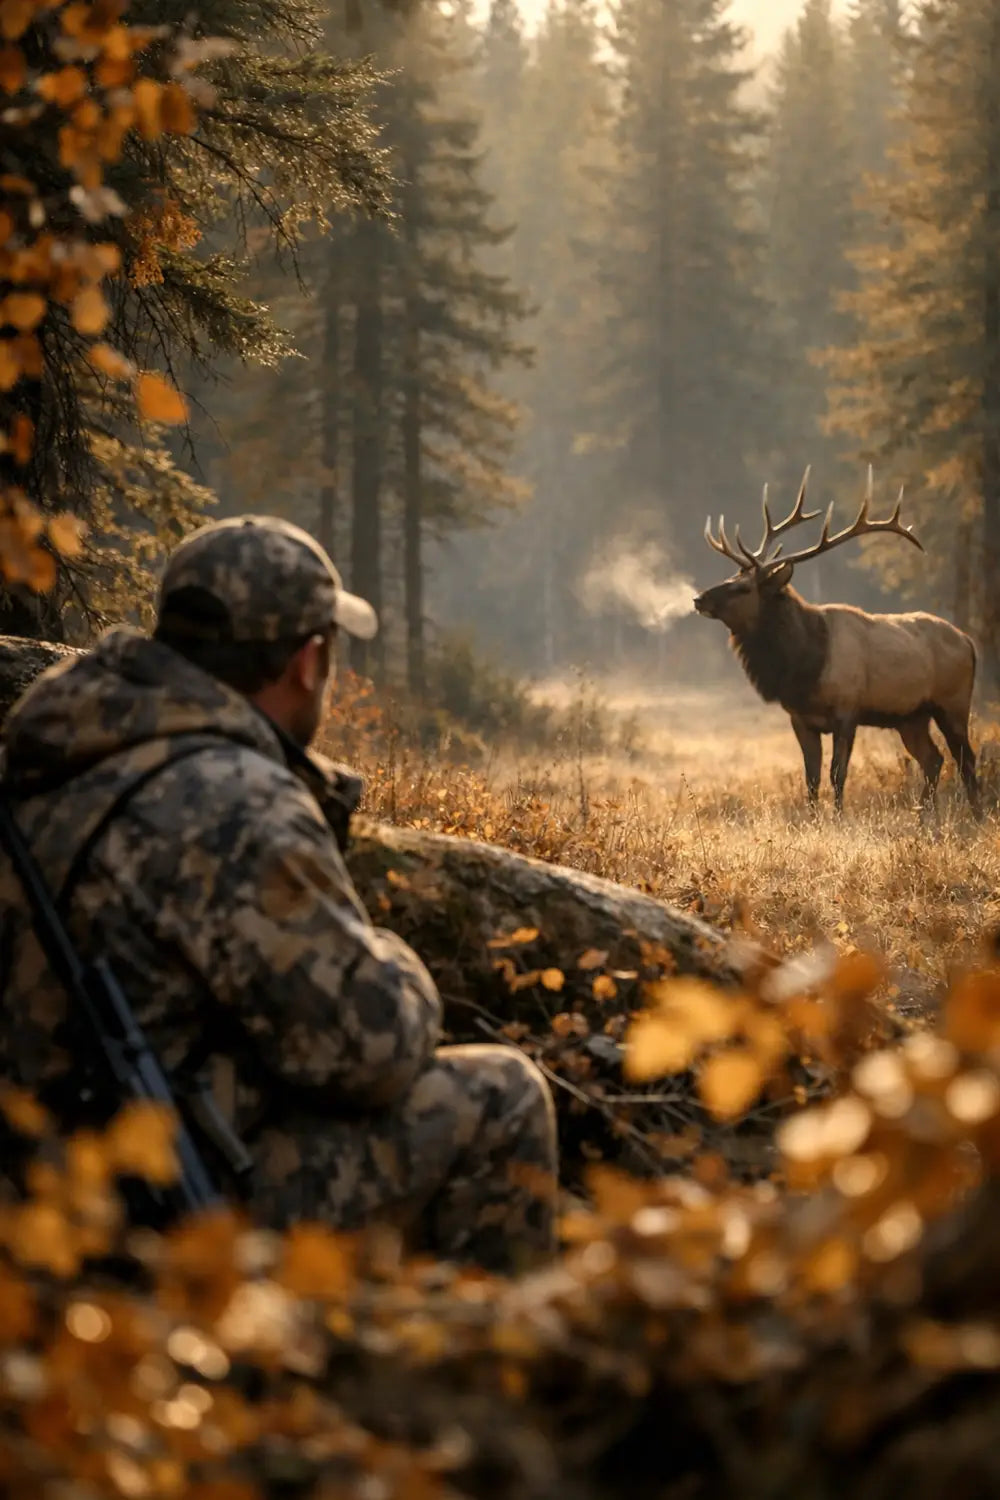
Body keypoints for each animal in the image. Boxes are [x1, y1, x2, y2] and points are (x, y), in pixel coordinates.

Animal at [693, 469, 980, 815]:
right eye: (732, 578)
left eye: (743, 588)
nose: (699, 599)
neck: (805, 665)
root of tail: (969, 642)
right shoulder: (800, 718)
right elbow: (812, 777)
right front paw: (813, 818)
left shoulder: (847, 710)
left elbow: (837, 773)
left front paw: (838, 817)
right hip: (911, 716)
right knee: (933, 760)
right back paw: (925, 817)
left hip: (953, 702)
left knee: (966, 761)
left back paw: (975, 817)